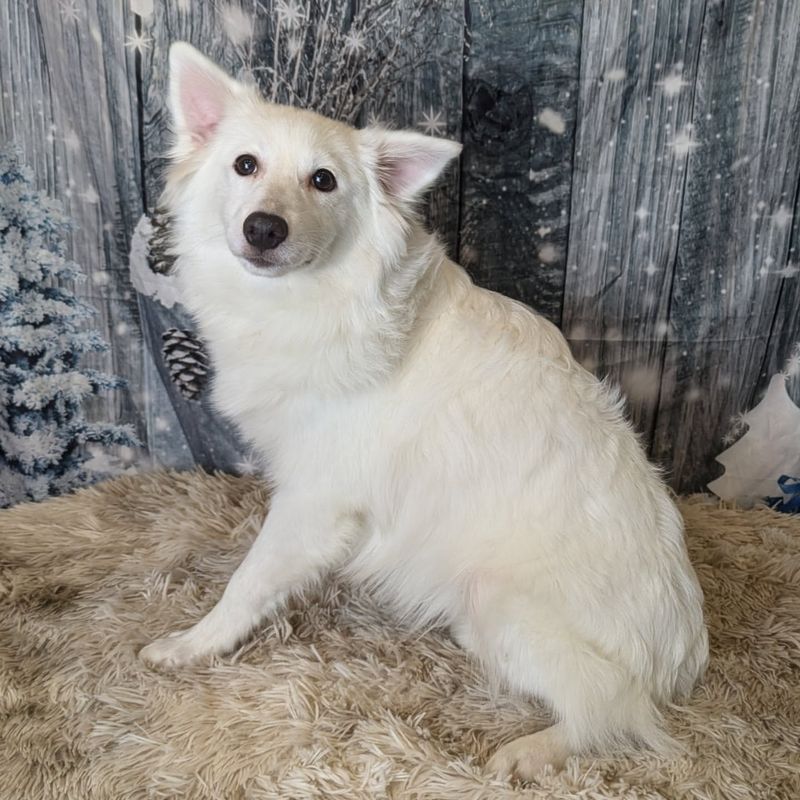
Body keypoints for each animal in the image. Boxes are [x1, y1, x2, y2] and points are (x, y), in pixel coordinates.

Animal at [139, 40, 708, 780]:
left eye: (323, 181)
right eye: (245, 165)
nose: (263, 229)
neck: (314, 297)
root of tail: (684, 658)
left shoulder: (314, 501)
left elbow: (248, 581)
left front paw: (193, 645)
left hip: (500, 603)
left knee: (613, 714)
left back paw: (528, 751)